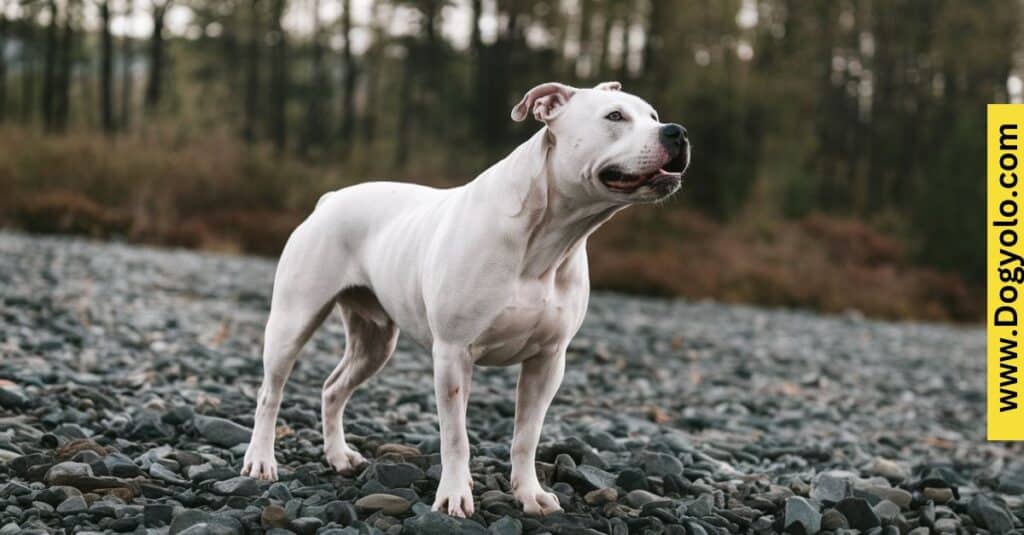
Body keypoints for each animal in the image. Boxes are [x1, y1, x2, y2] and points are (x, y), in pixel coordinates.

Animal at [239, 81, 688, 516]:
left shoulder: (548, 361)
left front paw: (530, 494)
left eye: (653, 116)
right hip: (292, 321)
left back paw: (338, 456)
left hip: (375, 343)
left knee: (333, 389)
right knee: (270, 393)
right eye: (615, 116)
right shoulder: (454, 354)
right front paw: (454, 495)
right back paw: (261, 460)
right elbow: (456, 437)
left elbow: (527, 435)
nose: (677, 131)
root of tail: (329, 200)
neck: (550, 236)